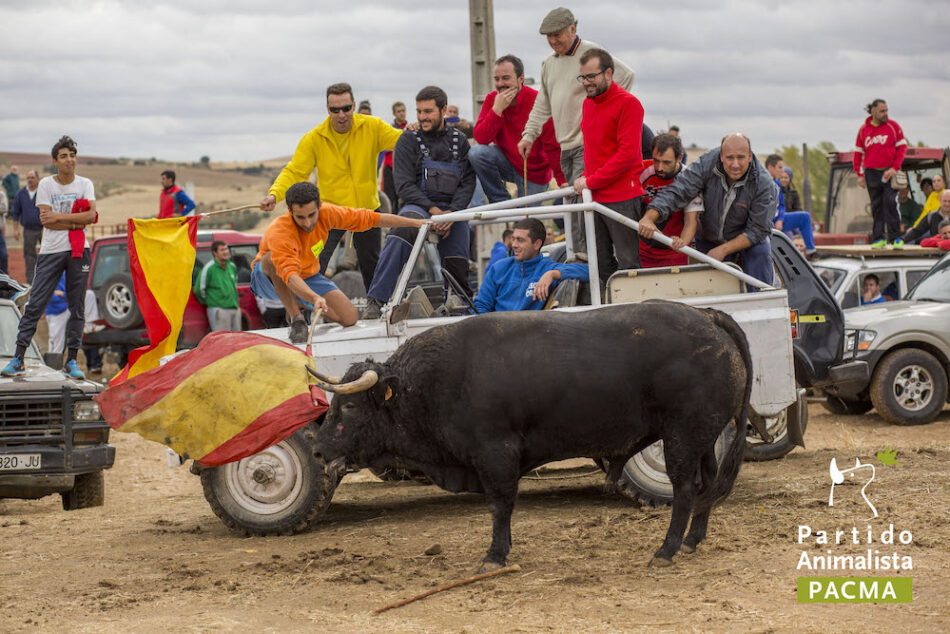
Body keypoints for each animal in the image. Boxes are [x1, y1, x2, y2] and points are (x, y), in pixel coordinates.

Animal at [312, 302, 752, 568]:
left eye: (349, 407)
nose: (316, 449)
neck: (434, 381)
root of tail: (706, 316)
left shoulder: (495, 454)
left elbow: (500, 506)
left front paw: (495, 555)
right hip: (702, 439)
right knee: (707, 484)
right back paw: (693, 539)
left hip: (682, 437)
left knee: (686, 489)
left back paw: (667, 548)